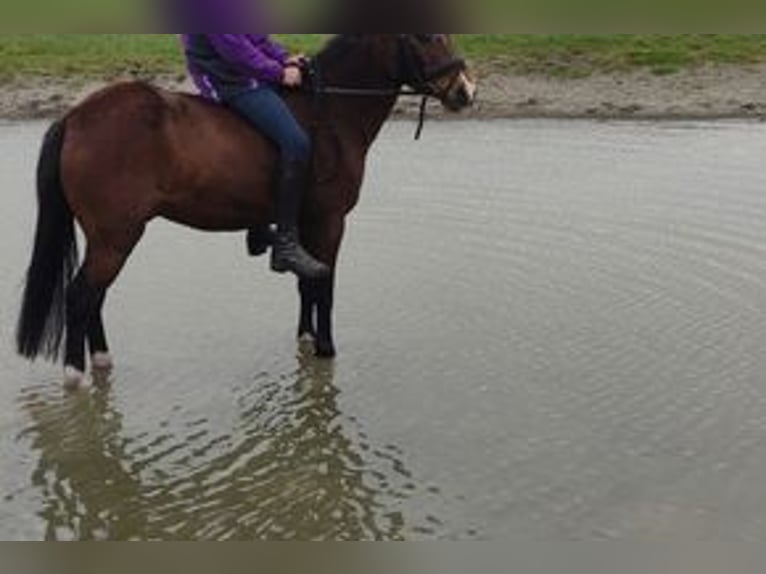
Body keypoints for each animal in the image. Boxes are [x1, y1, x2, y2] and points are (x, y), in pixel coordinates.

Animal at [16, 34, 476, 388]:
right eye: (424, 36)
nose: (466, 91)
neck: (331, 114)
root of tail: (76, 116)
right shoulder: (330, 222)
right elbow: (324, 286)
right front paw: (326, 351)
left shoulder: (304, 225)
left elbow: (305, 284)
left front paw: (305, 340)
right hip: (116, 236)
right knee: (81, 295)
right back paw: (76, 377)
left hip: (108, 238)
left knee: (94, 296)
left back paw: (101, 361)